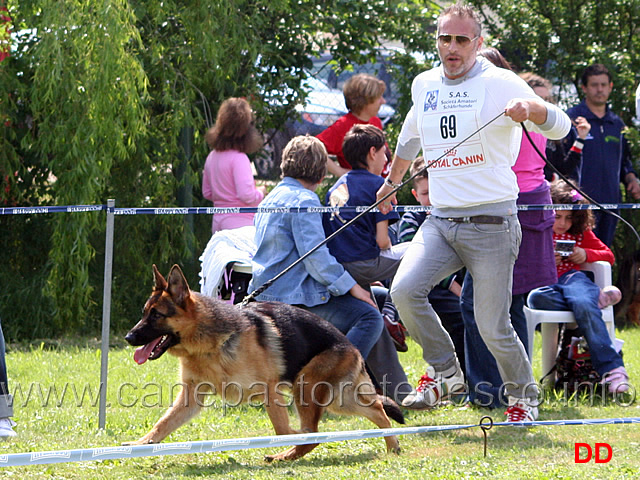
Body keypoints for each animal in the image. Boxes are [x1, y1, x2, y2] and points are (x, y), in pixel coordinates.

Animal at [124, 266, 402, 462]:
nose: (129, 337)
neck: (208, 345)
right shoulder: (191, 397)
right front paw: (142, 443)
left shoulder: (270, 390)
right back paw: (392, 445)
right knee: (377, 410)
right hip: (338, 399)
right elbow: (163, 423)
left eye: (156, 315)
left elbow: (282, 430)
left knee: (316, 431)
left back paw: (287, 453)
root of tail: (351, 346)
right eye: (144, 313)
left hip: (308, 388)